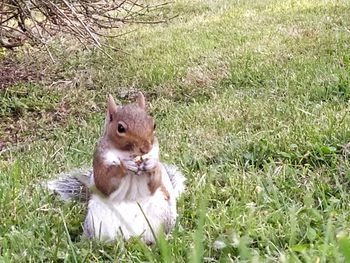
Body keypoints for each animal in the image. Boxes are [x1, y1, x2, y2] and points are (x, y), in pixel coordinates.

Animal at [48, 93, 187, 245]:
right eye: (120, 128)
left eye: (154, 124)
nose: (146, 148)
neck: (128, 153)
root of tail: (133, 238)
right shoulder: (100, 160)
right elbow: (106, 181)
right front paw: (124, 165)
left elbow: (154, 183)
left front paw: (151, 165)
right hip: (96, 223)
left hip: (162, 216)